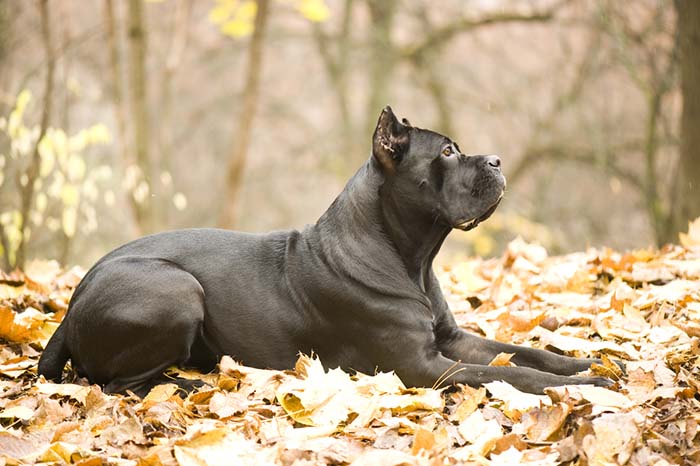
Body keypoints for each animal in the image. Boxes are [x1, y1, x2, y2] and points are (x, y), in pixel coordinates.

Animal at [38, 107, 616, 396]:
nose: (496, 160)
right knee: (115, 384)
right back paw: (184, 385)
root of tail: (69, 310)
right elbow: (511, 373)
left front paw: (593, 362)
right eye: (448, 151)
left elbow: (524, 352)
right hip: (177, 289)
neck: (411, 257)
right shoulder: (421, 366)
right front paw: (582, 385)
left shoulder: (451, 340)